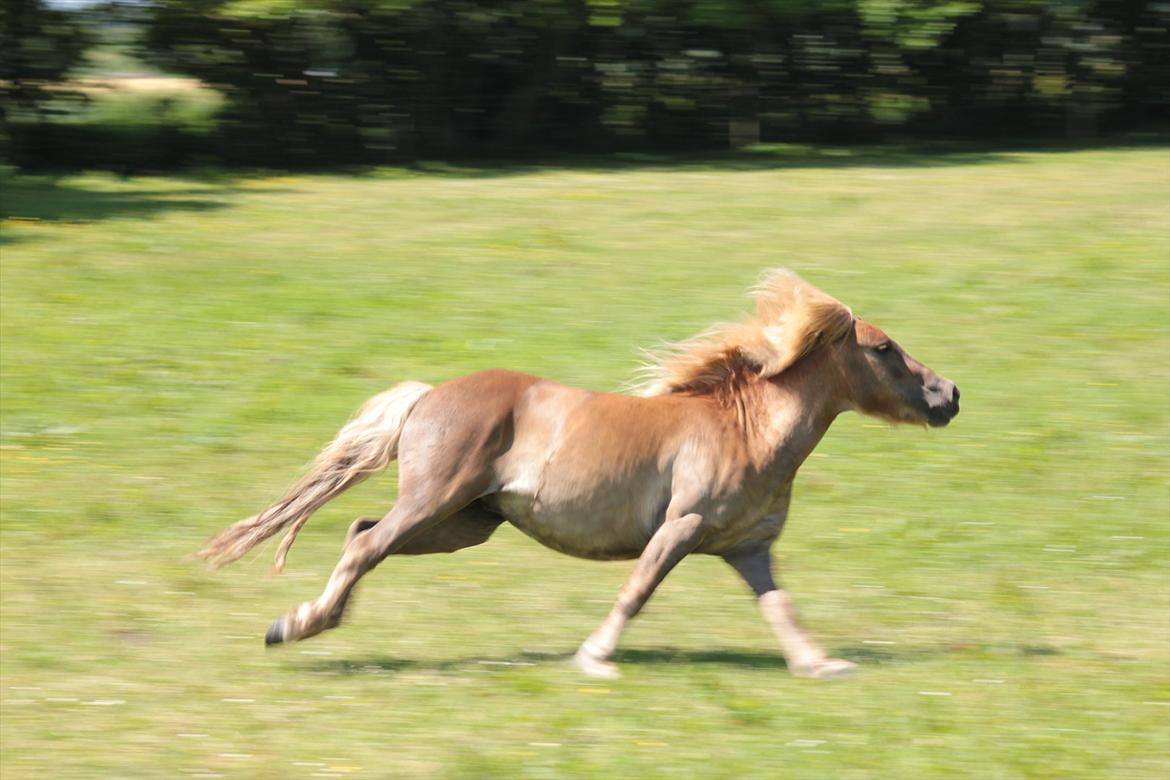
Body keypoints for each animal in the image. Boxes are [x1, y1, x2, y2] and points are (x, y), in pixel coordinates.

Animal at [196, 271, 954, 678]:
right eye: (884, 348)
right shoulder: (680, 528)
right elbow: (636, 592)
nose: (949, 394)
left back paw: (303, 622)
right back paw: (297, 625)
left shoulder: (747, 548)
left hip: (465, 524)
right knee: (363, 545)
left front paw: (820, 664)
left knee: (360, 530)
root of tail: (428, 395)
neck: (744, 429)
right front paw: (594, 657)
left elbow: (781, 609)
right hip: (434, 505)